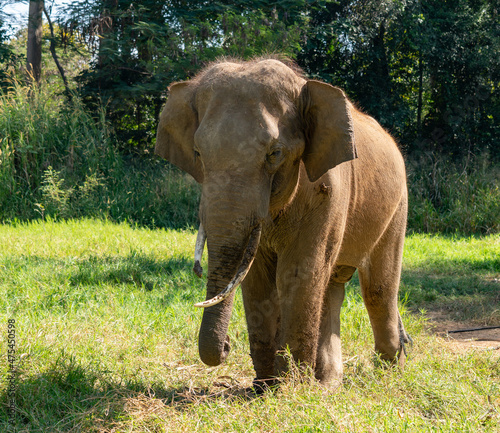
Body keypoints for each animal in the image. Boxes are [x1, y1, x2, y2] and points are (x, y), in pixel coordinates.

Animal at [155, 58, 410, 388]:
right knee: (333, 286)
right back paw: (329, 382)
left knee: (378, 289)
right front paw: (265, 386)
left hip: (398, 205)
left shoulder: (328, 190)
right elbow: (256, 277)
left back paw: (389, 371)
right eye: (198, 153)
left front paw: (291, 388)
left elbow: (299, 272)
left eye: (275, 154)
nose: (227, 346)